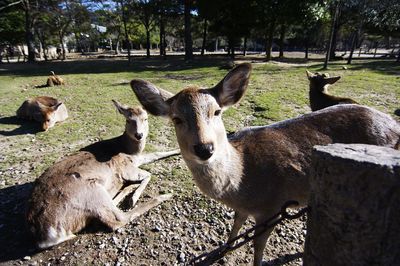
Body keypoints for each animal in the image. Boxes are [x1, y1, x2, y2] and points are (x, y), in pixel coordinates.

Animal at [25, 100, 179, 249]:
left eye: (146, 118)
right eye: (128, 120)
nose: (139, 135)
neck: (128, 150)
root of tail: (45, 236)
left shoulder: (135, 162)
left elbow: (157, 154)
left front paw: (178, 150)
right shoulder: (126, 167)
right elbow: (148, 174)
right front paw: (133, 198)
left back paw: (126, 189)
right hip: (91, 191)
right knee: (118, 218)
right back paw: (164, 195)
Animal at [131, 63, 400, 264]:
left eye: (217, 111)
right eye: (176, 118)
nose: (205, 148)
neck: (242, 181)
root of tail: (394, 125)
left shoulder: (273, 207)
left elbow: (258, 247)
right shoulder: (246, 208)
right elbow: (236, 224)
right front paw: (223, 250)